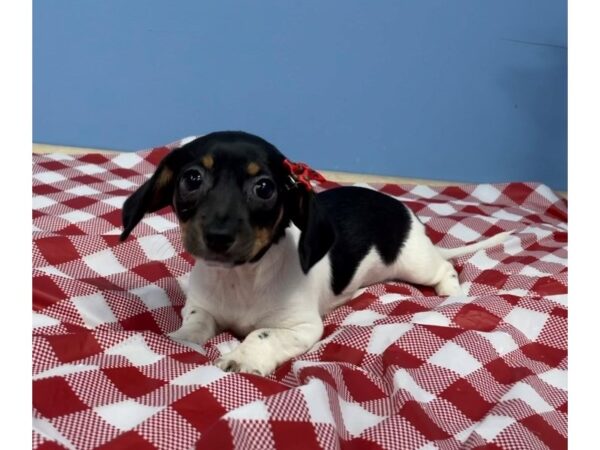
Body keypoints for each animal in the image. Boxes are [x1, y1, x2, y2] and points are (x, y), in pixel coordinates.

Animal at [122, 131, 510, 376]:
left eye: (264, 188)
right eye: (192, 179)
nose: (218, 236)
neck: (241, 279)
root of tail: (402, 210)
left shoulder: (303, 327)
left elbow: (261, 334)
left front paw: (243, 357)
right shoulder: (202, 305)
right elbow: (196, 322)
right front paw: (183, 339)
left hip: (415, 263)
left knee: (444, 267)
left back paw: (451, 291)